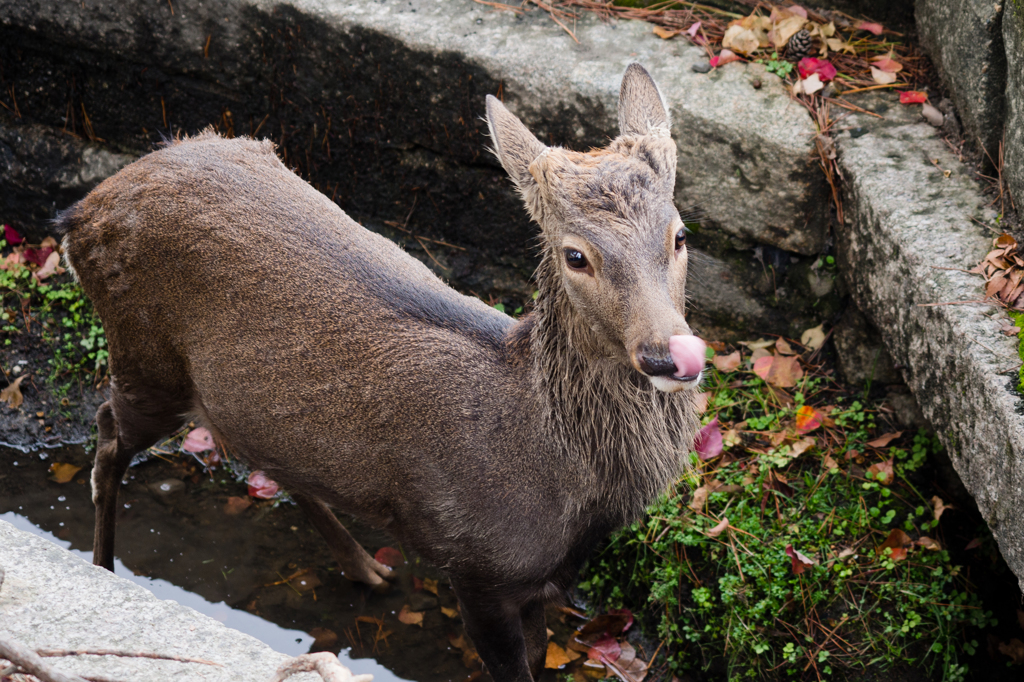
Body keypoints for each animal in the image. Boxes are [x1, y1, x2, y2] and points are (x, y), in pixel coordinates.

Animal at [59, 65, 708, 679]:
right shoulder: (477, 570)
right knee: (107, 434)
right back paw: (102, 571)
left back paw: (367, 569)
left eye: (680, 235)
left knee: (250, 440)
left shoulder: (540, 585)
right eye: (576, 255)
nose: (670, 353)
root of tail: (81, 211)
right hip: (145, 356)